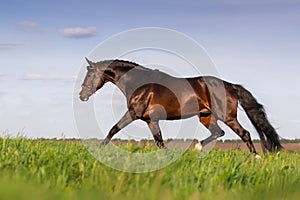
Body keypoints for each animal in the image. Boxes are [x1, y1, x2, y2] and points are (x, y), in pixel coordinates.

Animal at [79, 57, 282, 155]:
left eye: (90, 74)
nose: (82, 95)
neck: (139, 83)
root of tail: (230, 85)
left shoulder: (133, 113)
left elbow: (113, 129)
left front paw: (99, 150)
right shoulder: (150, 120)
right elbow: (159, 141)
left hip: (228, 117)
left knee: (245, 134)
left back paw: (256, 157)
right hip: (205, 116)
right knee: (219, 132)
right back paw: (198, 148)